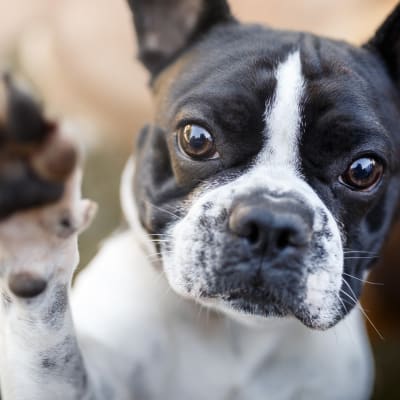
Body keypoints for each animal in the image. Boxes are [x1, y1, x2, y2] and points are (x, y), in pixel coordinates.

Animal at [0, 0, 400, 400]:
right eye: (196, 139)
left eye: (363, 170)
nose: (271, 222)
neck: (236, 331)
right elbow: (51, 347)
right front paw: (34, 232)